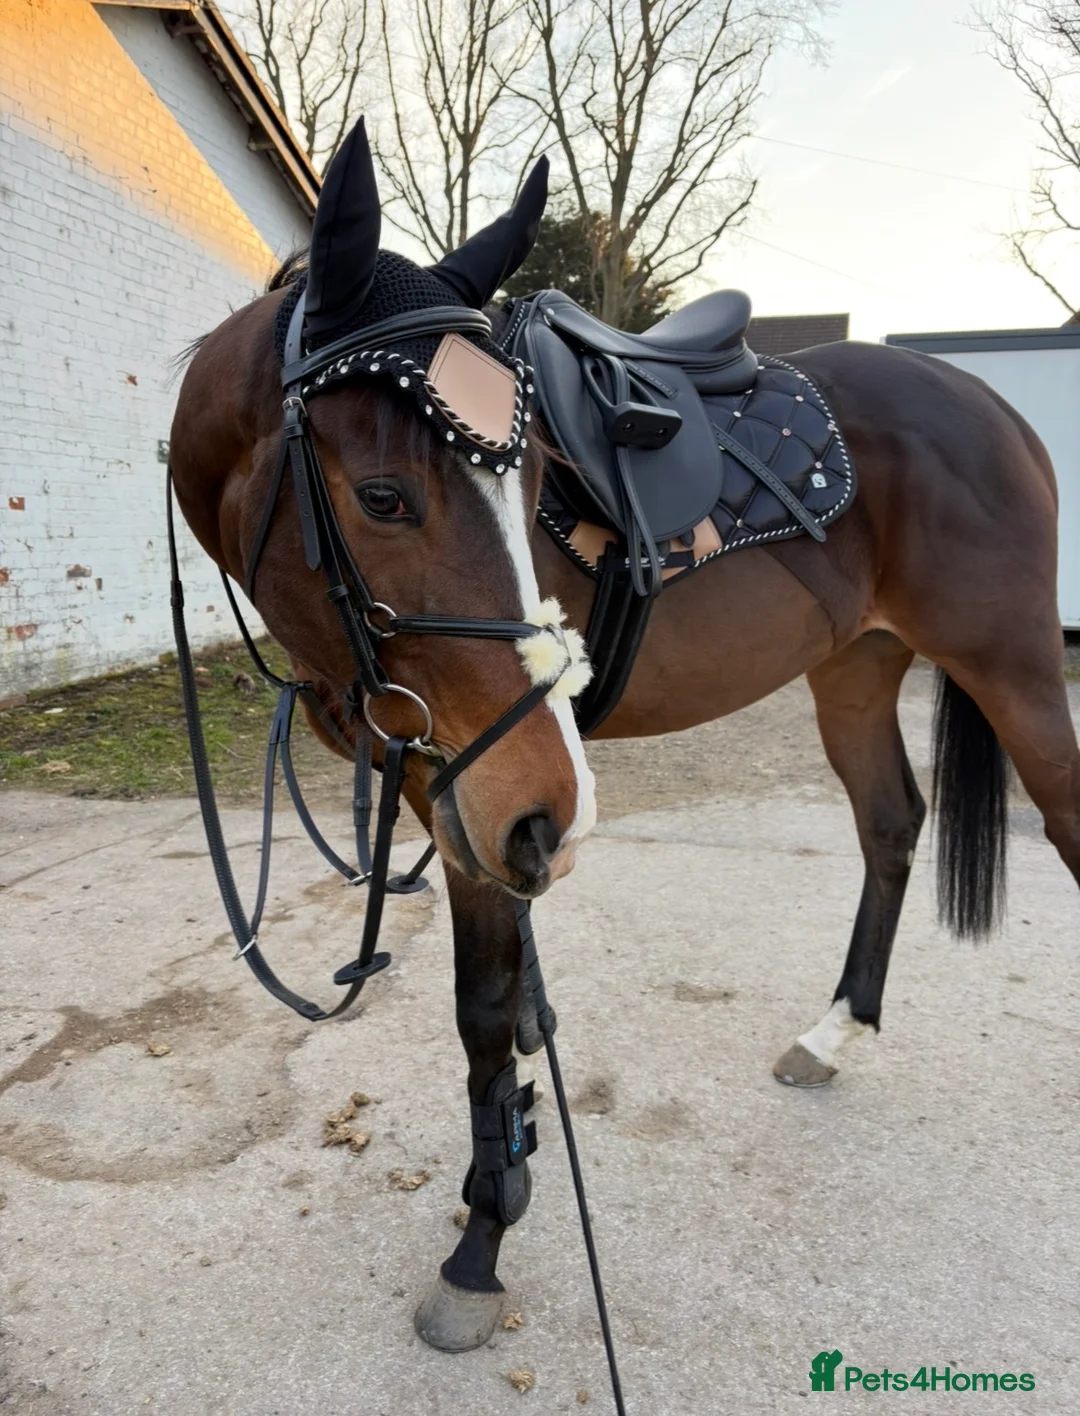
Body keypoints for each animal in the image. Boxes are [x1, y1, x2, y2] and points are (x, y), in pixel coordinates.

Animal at [169, 118, 1078, 1354]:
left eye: (538, 486)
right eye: (385, 496)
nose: (561, 807)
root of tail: (991, 405)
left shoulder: (468, 790)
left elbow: (483, 1013)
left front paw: (483, 1239)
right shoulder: (465, 786)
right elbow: (512, 1002)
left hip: (1015, 666)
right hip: (854, 670)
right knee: (892, 825)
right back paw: (834, 1032)